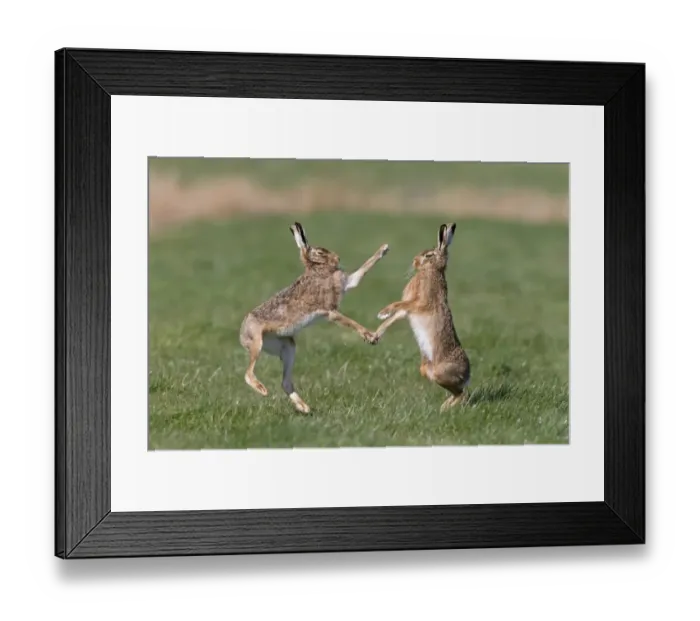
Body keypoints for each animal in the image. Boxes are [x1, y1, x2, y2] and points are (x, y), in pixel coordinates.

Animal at [239, 222, 390, 414]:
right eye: (320, 252)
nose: (337, 258)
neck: (316, 268)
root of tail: (241, 334)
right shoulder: (330, 311)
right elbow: (350, 322)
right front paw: (371, 337)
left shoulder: (346, 284)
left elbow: (361, 272)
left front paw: (384, 248)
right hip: (257, 342)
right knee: (248, 374)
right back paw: (263, 390)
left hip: (287, 347)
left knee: (285, 382)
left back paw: (304, 408)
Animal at [373, 223, 470, 411]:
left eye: (428, 255)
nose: (414, 261)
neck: (432, 269)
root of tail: (468, 373)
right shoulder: (408, 310)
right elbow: (394, 317)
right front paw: (376, 334)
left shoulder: (420, 303)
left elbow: (399, 305)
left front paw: (382, 312)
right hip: (426, 370)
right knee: (460, 393)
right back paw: (444, 406)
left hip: (441, 373)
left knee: (463, 394)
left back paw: (444, 409)